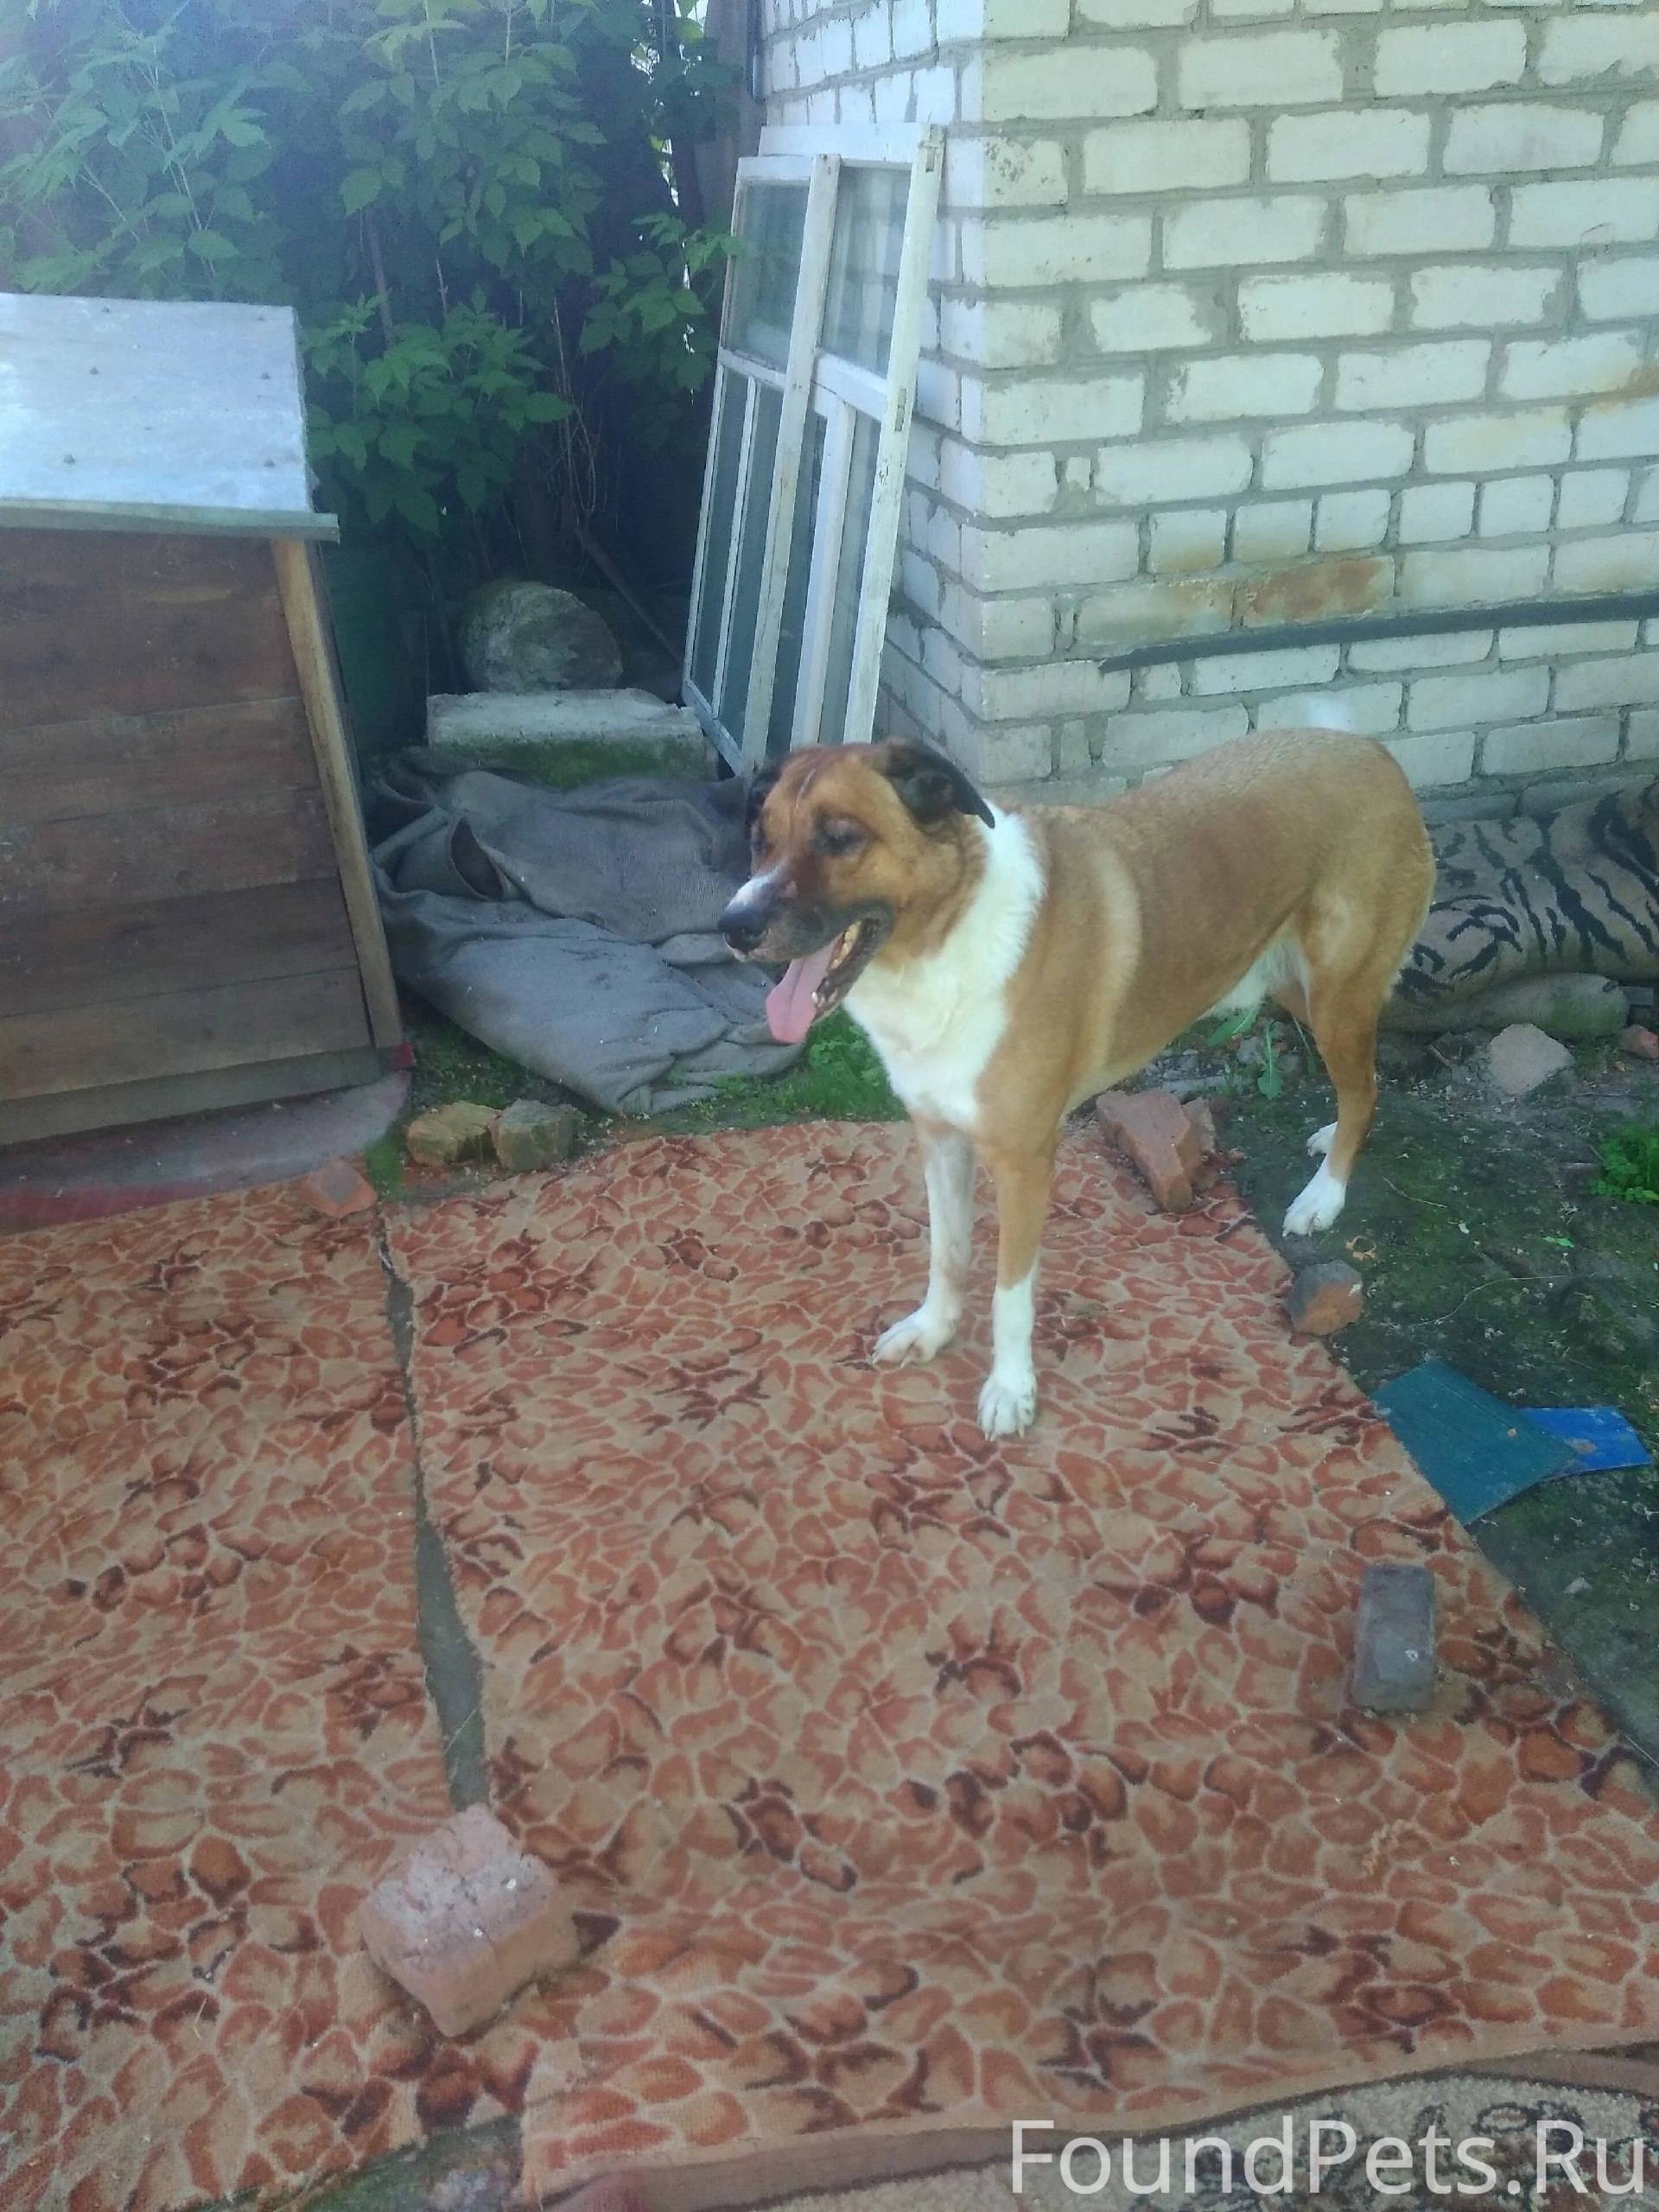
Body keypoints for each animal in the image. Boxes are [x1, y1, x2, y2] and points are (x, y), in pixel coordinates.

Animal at [719, 728, 1434, 1439]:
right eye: (761, 839)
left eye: (841, 838)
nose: (733, 927)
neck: (942, 947)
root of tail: (1370, 750)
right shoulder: (939, 1135)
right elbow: (948, 1252)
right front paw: (935, 1330)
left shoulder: (1024, 1161)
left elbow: (1010, 1293)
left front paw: (1011, 1389)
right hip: (1293, 985)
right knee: (1357, 1083)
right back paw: (1330, 1137)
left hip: (1338, 995)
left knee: (1366, 1090)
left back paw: (1324, 1196)